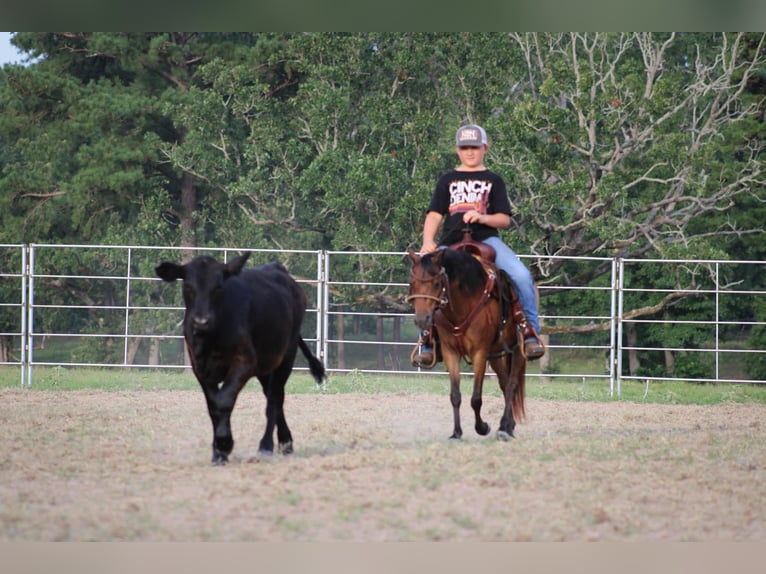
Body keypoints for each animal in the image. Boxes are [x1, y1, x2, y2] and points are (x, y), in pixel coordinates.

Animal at [154, 254, 326, 466]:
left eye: (218, 288)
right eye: (188, 286)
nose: (201, 321)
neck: (213, 337)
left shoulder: (244, 362)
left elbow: (224, 401)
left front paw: (223, 444)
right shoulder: (200, 367)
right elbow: (213, 406)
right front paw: (217, 453)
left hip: (287, 354)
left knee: (274, 399)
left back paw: (266, 446)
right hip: (265, 366)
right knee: (272, 396)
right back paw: (286, 442)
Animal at [408, 246, 528, 440]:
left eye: (437, 284)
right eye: (412, 283)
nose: (421, 319)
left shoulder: (479, 353)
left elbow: (476, 398)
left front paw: (482, 427)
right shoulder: (450, 352)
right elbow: (455, 395)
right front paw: (456, 433)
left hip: (517, 350)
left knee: (512, 384)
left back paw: (504, 427)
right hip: (495, 355)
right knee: (504, 383)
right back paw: (509, 425)